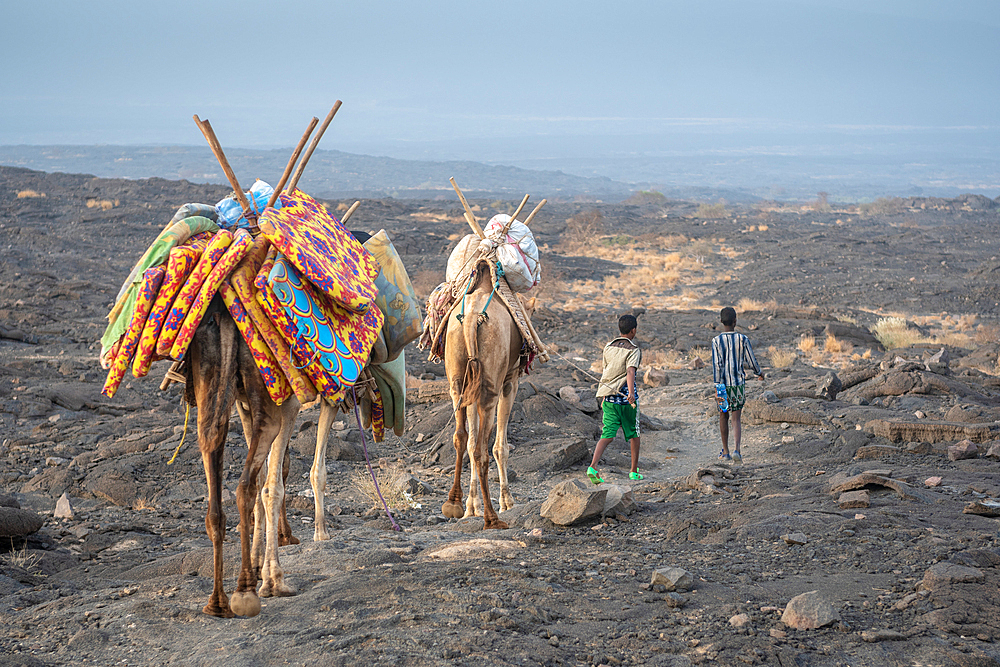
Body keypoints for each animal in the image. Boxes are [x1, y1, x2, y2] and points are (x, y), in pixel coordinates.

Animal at [438, 264, 532, 528]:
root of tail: (472, 319)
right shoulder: (510, 382)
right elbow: (501, 446)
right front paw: (508, 501)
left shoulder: (472, 386)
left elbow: (469, 442)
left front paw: (471, 507)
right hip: (491, 385)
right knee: (482, 450)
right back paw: (492, 517)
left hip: (458, 378)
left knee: (461, 438)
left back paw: (454, 504)